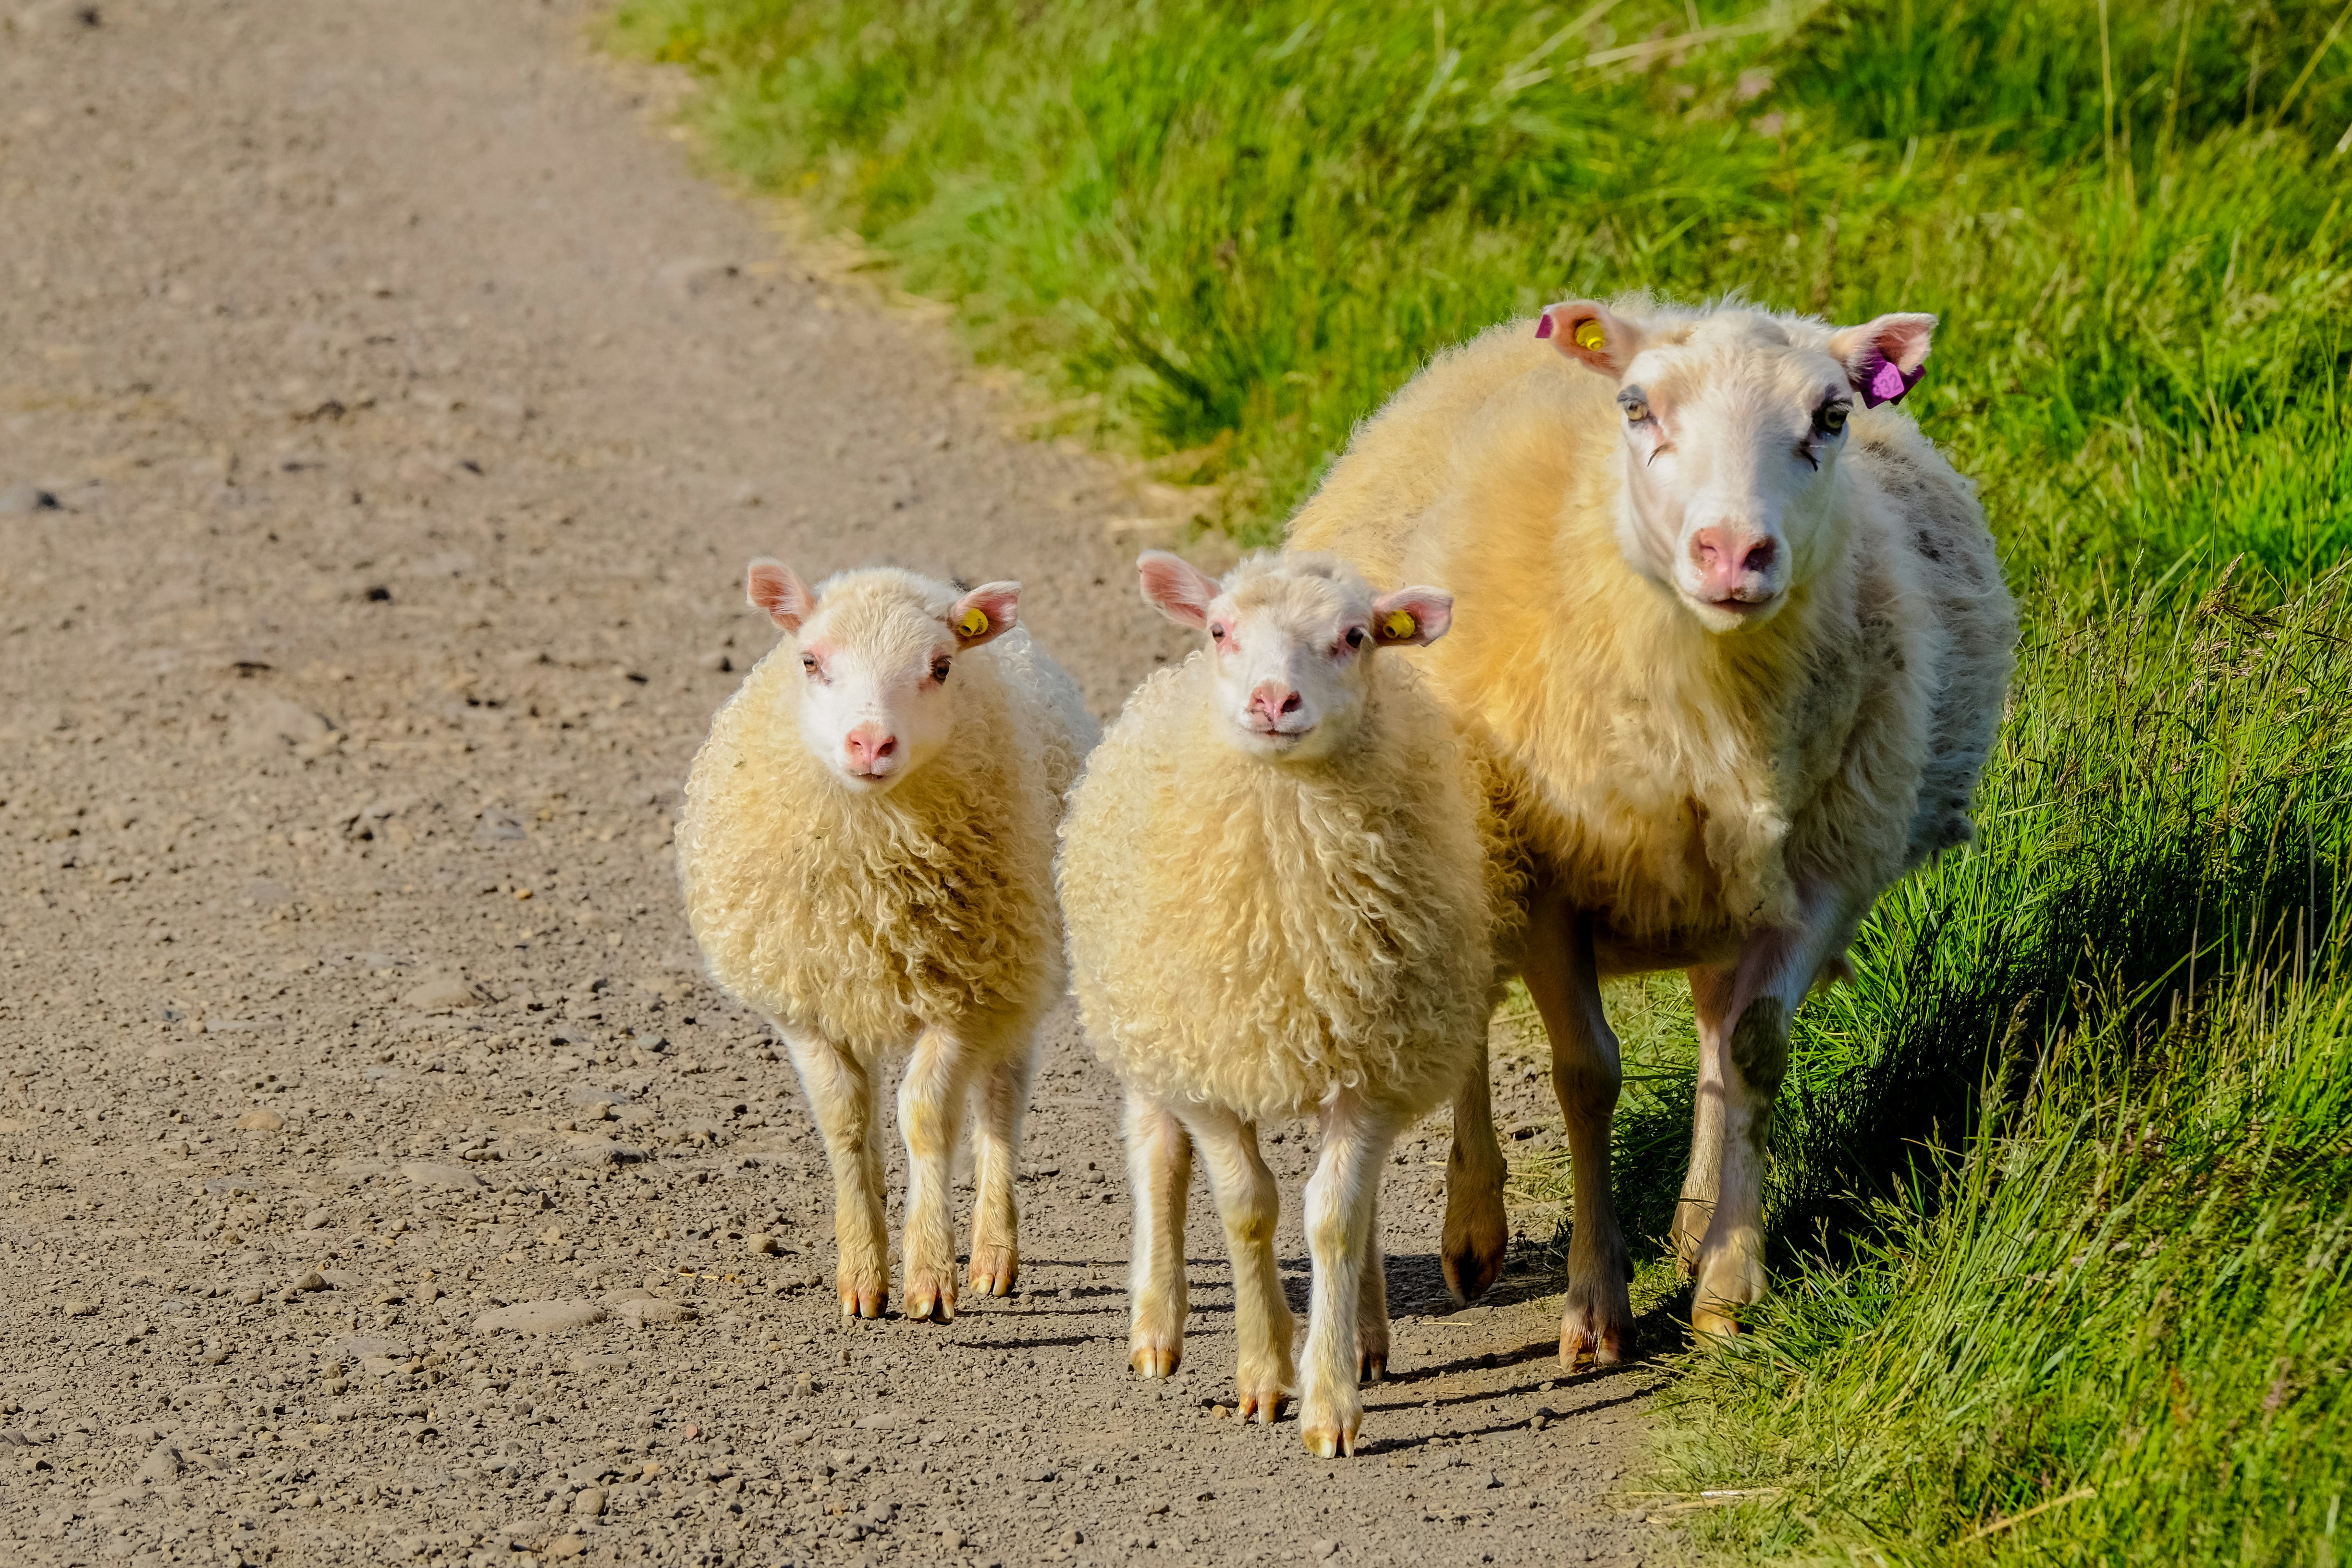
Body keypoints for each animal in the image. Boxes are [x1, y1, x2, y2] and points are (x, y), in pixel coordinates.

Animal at [678, 559, 1096, 1322]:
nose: (870, 744)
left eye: (941, 666)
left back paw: (993, 1255)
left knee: (1000, 1104)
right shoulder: (808, 1007)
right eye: (811, 661)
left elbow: (927, 1121)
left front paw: (929, 1276)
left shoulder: (965, 996)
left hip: (1018, 974)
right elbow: (845, 1124)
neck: (875, 876)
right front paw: (863, 1274)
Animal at [1058, 549, 1519, 1457]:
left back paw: (1368, 1337)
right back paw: (1157, 1325)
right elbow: (1248, 1209)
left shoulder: (1372, 1069)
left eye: (1355, 636)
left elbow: (1333, 1219)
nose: (1274, 701)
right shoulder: (1210, 1067)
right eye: (1220, 629)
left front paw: (1329, 1398)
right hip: (1147, 1026)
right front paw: (1264, 1373)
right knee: (1157, 1154)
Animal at [1287, 296, 2017, 1354]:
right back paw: (1471, 1232)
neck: (1714, 697)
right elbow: (1587, 1074)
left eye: (1832, 416)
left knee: (1712, 1019)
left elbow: (1754, 1051)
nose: (1734, 553)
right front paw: (1596, 1305)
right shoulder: (1543, 874)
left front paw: (1727, 1285)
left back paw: (1692, 1217)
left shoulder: (1825, 876)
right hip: (1454, 852)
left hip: (1726, 885)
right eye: (1637, 408)